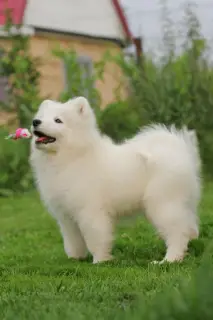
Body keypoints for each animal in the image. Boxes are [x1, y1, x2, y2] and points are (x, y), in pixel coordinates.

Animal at [30, 96, 201, 264]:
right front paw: (75, 258)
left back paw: (169, 259)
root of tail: (179, 150)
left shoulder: (90, 211)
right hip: (181, 203)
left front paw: (100, 261)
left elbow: (96, 238)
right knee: (188, 226)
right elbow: (73, 241)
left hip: (162, 203)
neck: (71, 157)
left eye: (58, 120)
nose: (35, 122)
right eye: (41, 117)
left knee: (178, 232)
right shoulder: (67, 216)